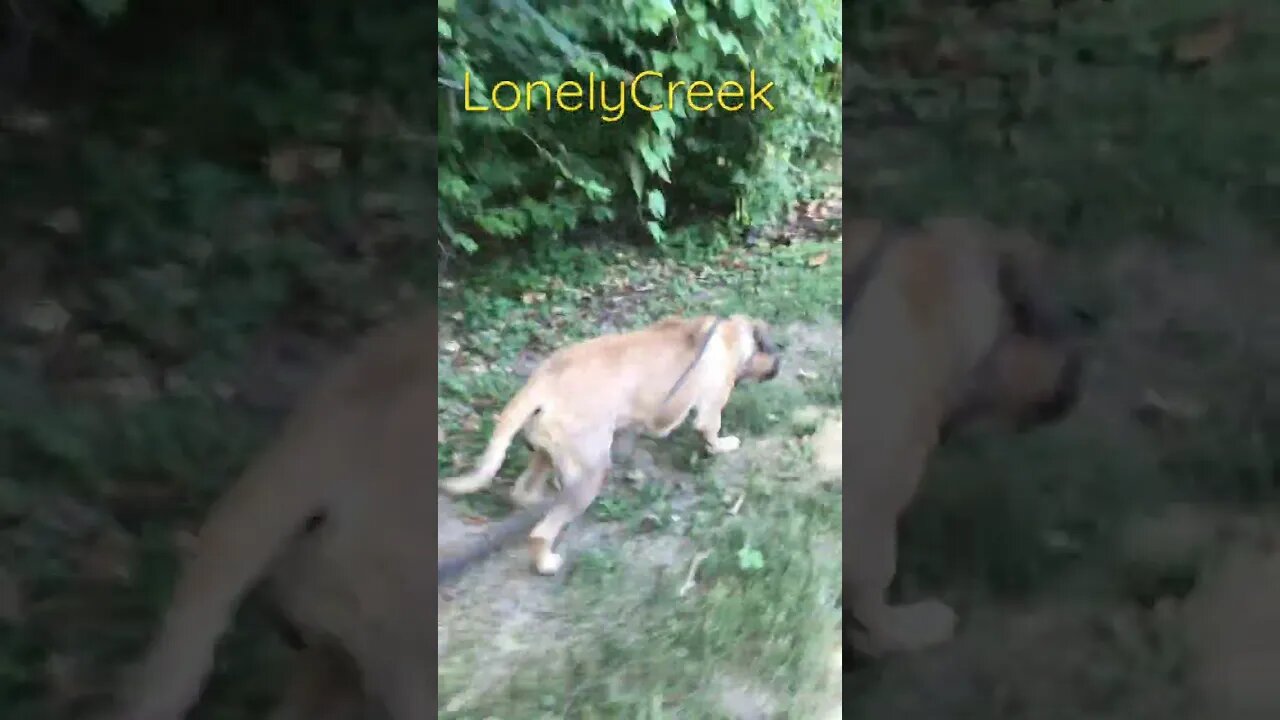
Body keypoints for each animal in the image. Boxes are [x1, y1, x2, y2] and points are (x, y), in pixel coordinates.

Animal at [440, 311, 778, 573]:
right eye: (775, 351)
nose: (779, 364)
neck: (730, 335)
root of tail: (542, 381)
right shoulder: (710, 408)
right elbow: (712, 431)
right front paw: (723, 445)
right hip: (590, 471)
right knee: (541, 532)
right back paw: (546, 562)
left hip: (547, 452)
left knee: (524, 490)